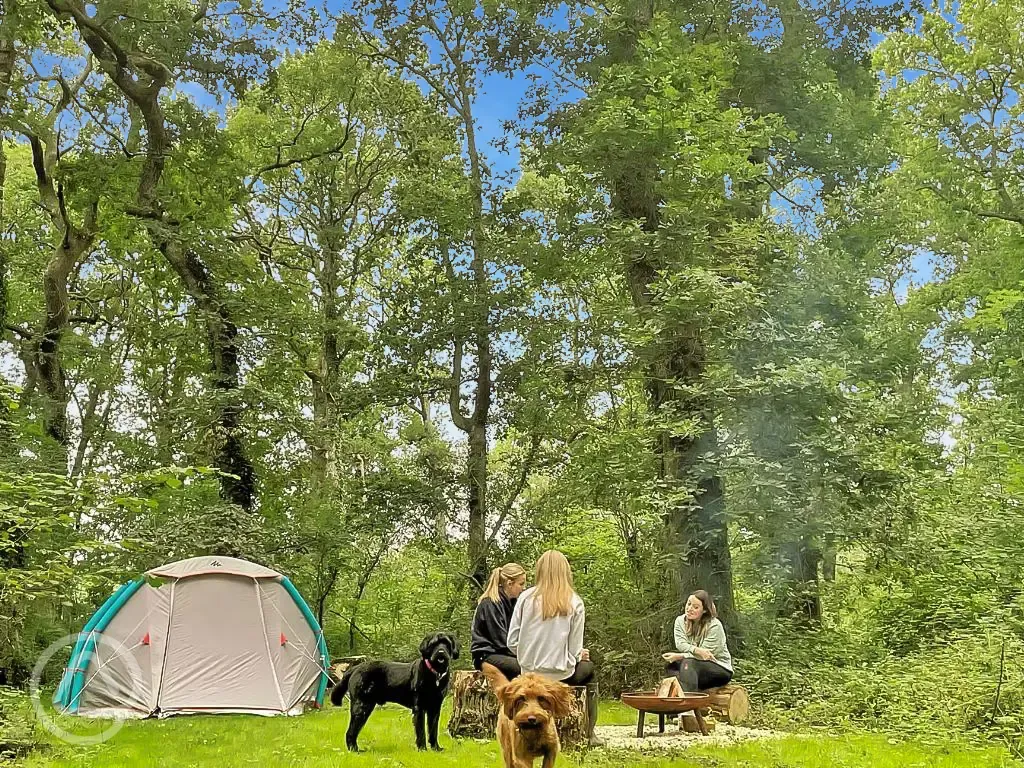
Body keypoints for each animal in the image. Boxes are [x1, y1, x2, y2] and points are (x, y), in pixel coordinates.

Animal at [329, 634, 458, 753]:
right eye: (434, 644)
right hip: (361, 707)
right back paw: (355, 750)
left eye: (446, 644)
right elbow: (421, 731)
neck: (435, 674)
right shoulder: (419, 708)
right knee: (351, 731)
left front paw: (436, 748)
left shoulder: (435, 708)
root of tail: (355, 668)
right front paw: (422, 749)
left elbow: (433, 730)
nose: (441, 651)